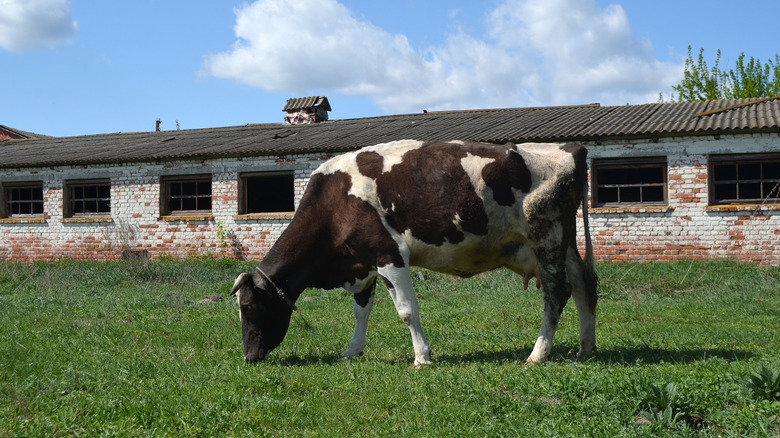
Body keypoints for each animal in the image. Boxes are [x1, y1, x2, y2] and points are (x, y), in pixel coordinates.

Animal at [232, 140, 596, 366]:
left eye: (248, 307)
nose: (248, 357)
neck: (335, 201)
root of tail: (571, 146)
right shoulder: (363, 262)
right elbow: (361, 311)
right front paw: (352, 350)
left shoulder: (388, 254)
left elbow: (407, 310)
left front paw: (422, 356)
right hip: (564, 243)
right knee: (584, 285)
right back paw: (586, 347)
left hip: (546, 235)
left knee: (557, 291)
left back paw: (538, 354)